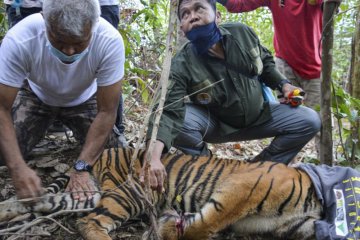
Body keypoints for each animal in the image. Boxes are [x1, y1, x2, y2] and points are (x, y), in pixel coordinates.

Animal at [0, 147, 320, 239]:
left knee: (44, 201)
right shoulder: (240, 189)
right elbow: (208, 222)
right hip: (133, 193)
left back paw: (6, 209)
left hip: (97, 194)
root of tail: (107, 150)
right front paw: (172, 228)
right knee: (89, 221)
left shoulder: (294, 225)